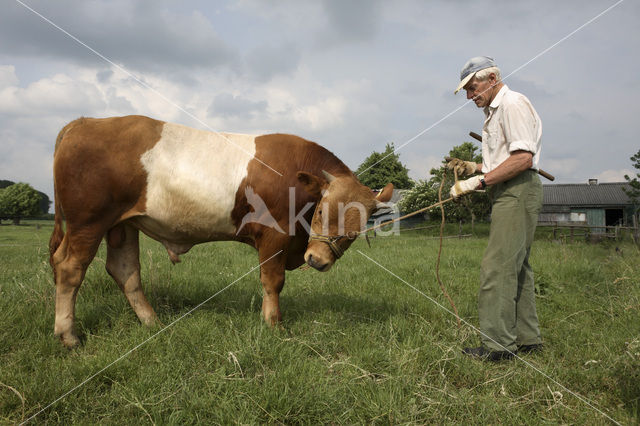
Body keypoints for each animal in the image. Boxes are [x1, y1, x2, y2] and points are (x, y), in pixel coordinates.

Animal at [47, 115, 392, 348]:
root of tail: (85, 122)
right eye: (321, 211)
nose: (317, 260)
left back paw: (152, 322)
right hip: (88, 222)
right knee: (70, 268)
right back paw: (68, 335)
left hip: (122, 224)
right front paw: (274, 326)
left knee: (124, 270)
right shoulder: (275, 235)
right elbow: (273, 281)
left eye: (356, 230)